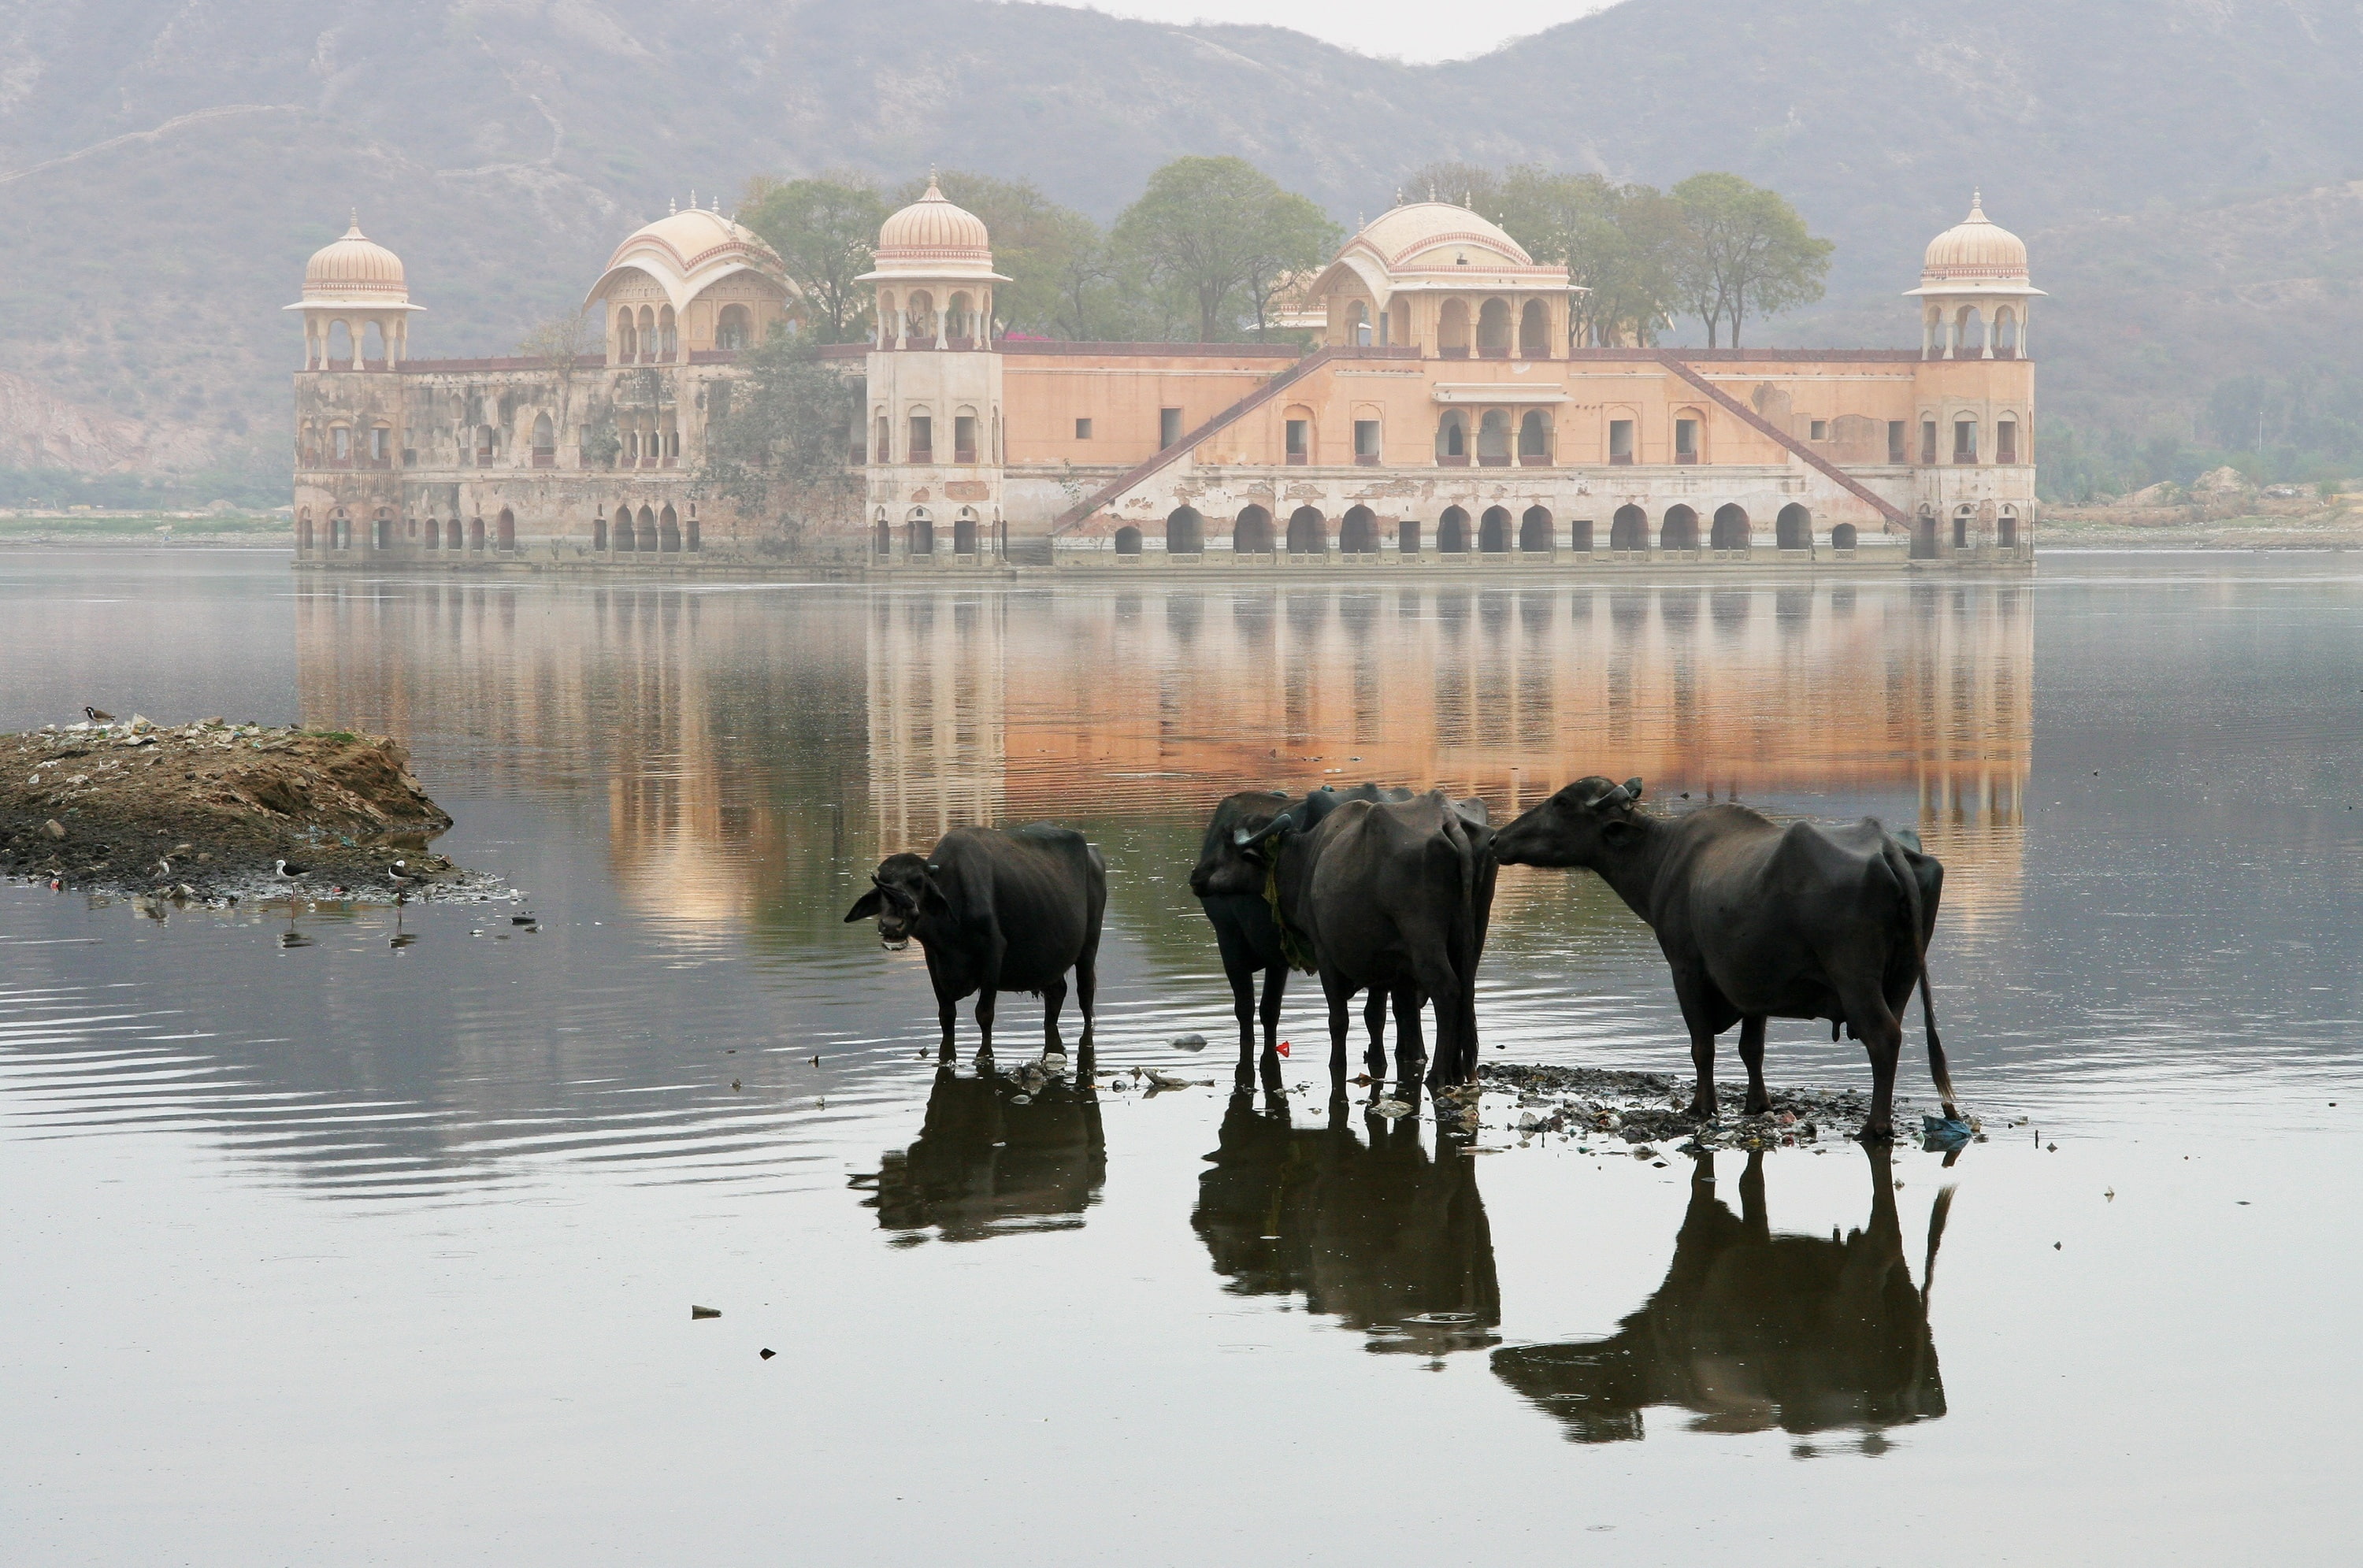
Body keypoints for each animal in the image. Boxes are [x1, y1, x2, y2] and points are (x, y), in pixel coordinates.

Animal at [844, 823, 1105, 1062]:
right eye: (882, 883)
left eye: (917, 882)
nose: (891, 925)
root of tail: (1093, 855)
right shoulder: (933, 958)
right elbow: (946, 1015)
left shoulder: (993, 954)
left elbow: (984, 1014)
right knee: (1056, 993)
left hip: (1089, 947)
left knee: (1085, 996)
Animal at [1189, 784, 1421, 1088]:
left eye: (1226, 847)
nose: (1196, 876)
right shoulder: (1278, 957)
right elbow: (1269, 1011)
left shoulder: (1229, 940)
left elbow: (1246, 1009)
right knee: (1391, 1013)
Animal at [1234, 788, 1497, 1089]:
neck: (1309, 859)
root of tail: (1448, 818)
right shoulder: (1388, 963)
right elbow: (1380, 1015)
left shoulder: (1325, 954)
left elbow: (1339, 1020)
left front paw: (1338, 1063)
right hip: (1473, 935)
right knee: (1466, 990)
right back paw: (1459, 1070)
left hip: (1423, 937)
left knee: (1447, 989)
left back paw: (1438, 1074)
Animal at [1491, 777, 1955, 1139]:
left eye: (1562, 802)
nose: (1496, 839)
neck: (1662, 857)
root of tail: (1889, 850)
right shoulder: (1753, 982)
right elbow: (1752, 1048)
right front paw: (1758, 1104)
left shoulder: (1686, 968)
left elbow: (1702, 1046)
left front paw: (1701, 1105)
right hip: (1905, 975)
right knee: (1894, 1036)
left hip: (1854, 977)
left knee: (1883, 1037)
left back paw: (1875, 1127)